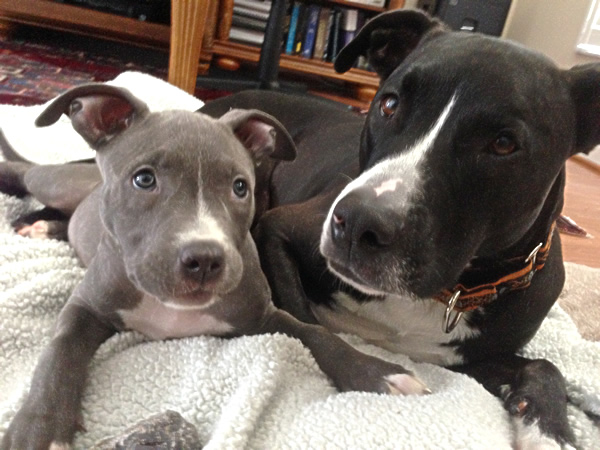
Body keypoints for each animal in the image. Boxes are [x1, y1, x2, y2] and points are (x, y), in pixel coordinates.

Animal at [0, 84, 427, 449]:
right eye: (144, 179)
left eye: (240, 187)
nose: (205, 259)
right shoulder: (85, 308)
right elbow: (59, 354)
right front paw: (38, 430)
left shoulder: (263, 316)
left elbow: (317, 334)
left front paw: (377, 371)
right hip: (59, 182)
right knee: (27, 174)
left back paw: (45, 227)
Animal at [199, 9, 600, 448]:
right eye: (389, 104)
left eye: (504, 143)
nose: (357, 223)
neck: (449, 291)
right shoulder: (279, 229)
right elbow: (303, 321)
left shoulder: (464, 359)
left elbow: (546, 367)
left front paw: (549, 429)